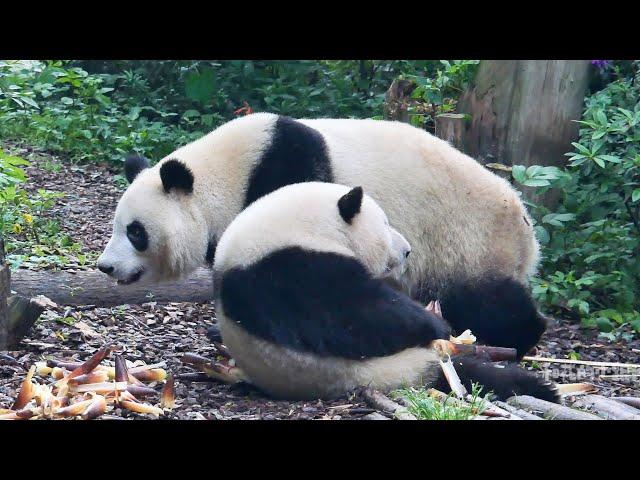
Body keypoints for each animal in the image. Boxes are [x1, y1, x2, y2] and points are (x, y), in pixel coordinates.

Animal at [99, 113, 544, 356]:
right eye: (118, 226)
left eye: (136, 232)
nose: (106, 267)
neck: (225, 175)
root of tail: (528, 231)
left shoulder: (284, 175)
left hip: (470, 244)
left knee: (487, 301)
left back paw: (517, 340)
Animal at [211, 181, 560, 402]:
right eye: (385, 223)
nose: (407, 251)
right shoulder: (285, 271)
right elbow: (354, 317)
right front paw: (436, 323)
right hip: (396, 368)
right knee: (464, 373)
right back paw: (537, 387)